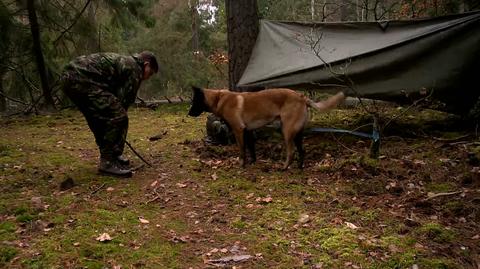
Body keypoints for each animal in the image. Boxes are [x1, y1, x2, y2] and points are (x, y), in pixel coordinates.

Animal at [188, 87, 344, 169]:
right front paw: (252, 162)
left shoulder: (238, 130)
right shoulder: (248, 131)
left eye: (194, 101)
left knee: (291, 151)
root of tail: (301, 96)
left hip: (287, 130)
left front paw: (241, 164)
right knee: (302, 150)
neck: (219, 99)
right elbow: (251, 148)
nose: (188, 113)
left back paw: (284, 168)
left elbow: (242, 149)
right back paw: (300, 167)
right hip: (297, 132)